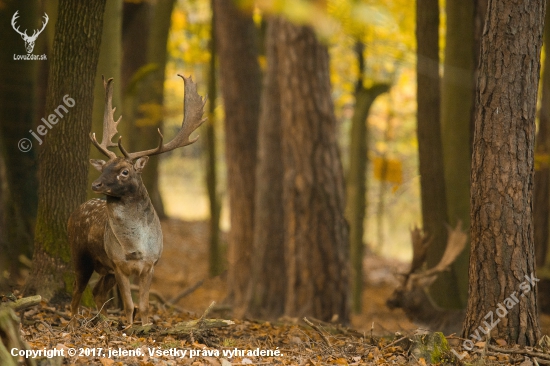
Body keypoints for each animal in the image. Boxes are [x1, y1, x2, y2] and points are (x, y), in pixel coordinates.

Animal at [68, 74, 207, 326]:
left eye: (124, 171)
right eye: (104, 166)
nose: (96, 184)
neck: (136, 247)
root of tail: (73, 214)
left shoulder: (150, 264)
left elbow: (143, 305)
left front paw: (145, 328)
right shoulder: (119, 264)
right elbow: (128, 305)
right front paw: (131, 329)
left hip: (105, 269)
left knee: (97, 291)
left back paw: (105, 323)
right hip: (80, 253)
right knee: (77, 291)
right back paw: (73, 325)